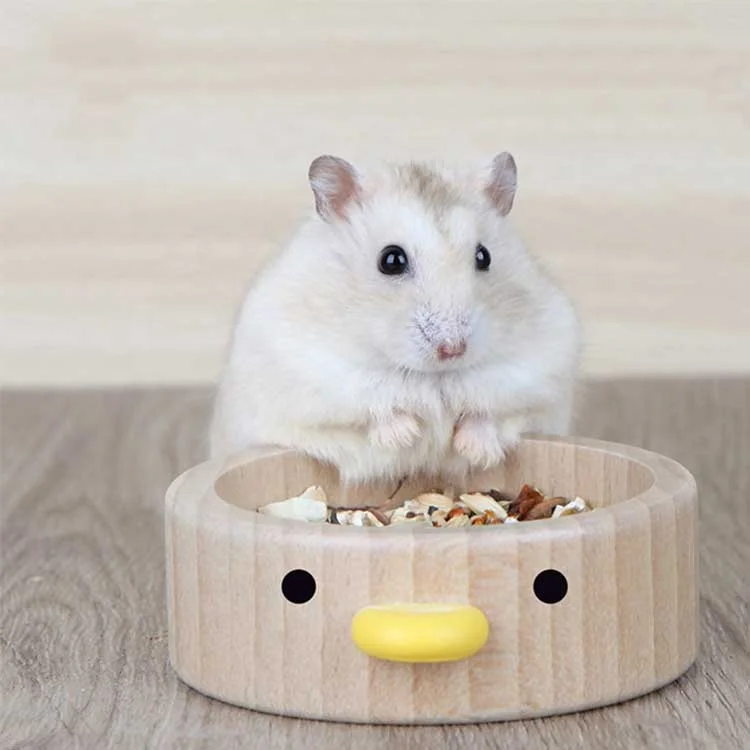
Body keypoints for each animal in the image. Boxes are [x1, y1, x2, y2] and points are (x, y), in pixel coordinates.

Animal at [209, 153, 580, 484]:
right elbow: (372, 408)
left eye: (483, 256)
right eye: (391, 260)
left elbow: (491, 410)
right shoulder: (315, 374)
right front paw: (407, 435)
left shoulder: (539, 372)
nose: (453, 350)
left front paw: (475, 450)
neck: (431, 378)